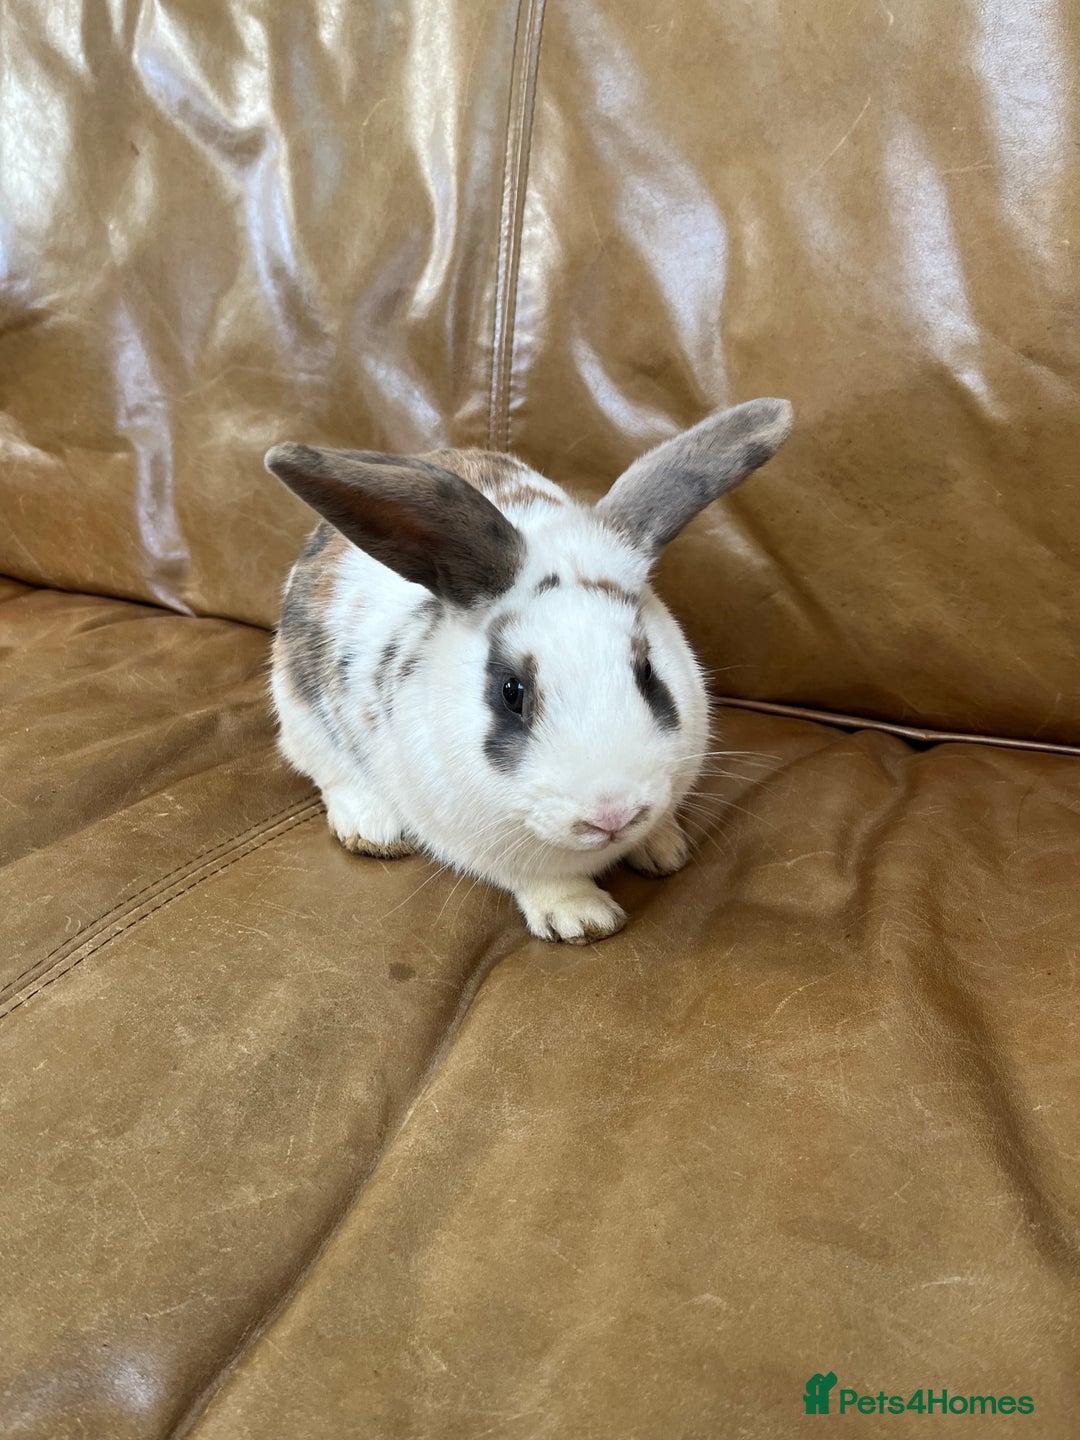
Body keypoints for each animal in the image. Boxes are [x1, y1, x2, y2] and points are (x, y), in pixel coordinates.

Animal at [264, 398, 793, 943]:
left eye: (648, 672)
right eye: (511, 691)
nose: (613, 813)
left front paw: (665, 850)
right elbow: (540, 879)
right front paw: (583, 919)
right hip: (300, 714)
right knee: (327, 771)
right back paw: (372, 830)